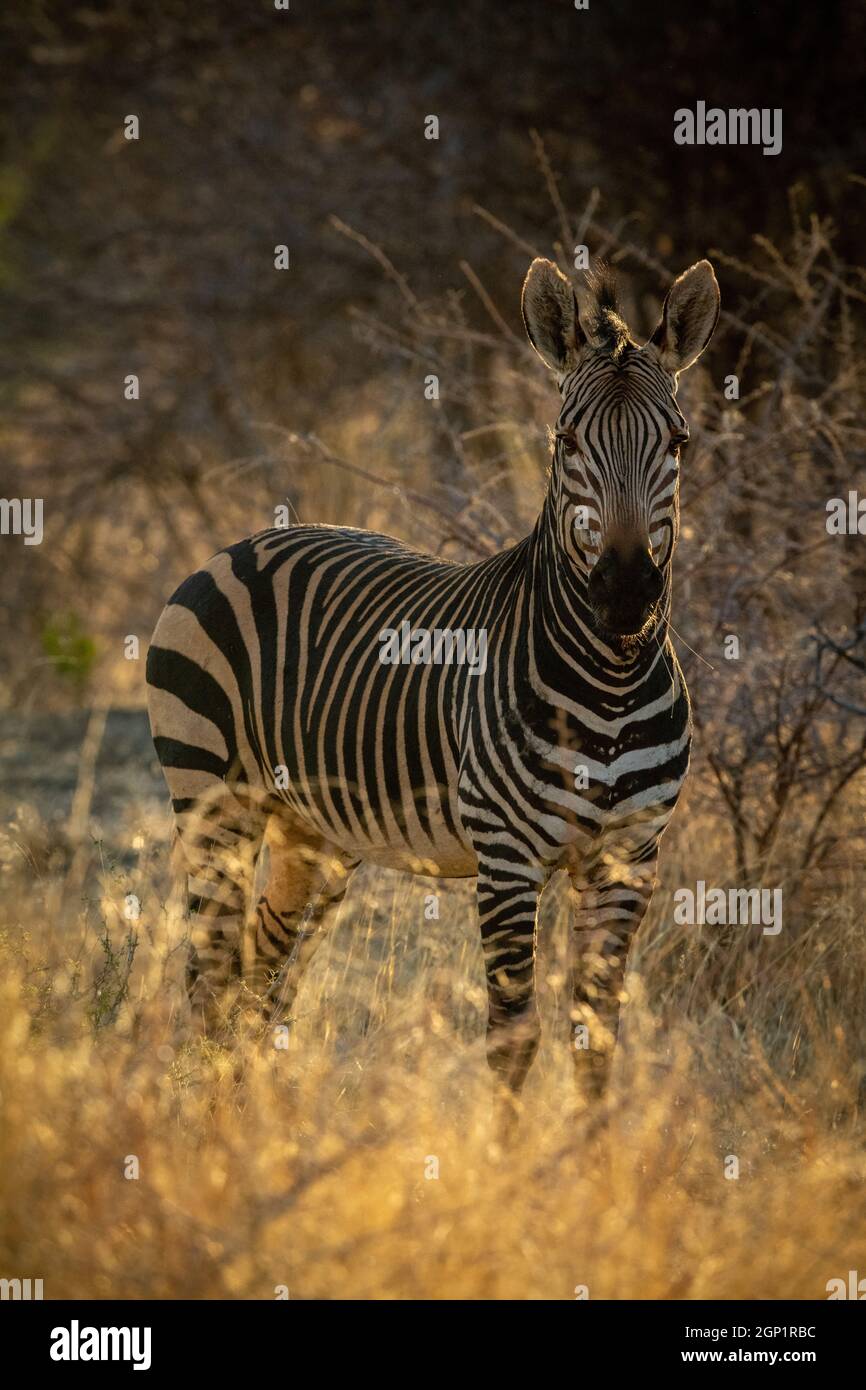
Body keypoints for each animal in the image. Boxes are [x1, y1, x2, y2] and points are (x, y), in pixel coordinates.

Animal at [146, 254, 719, 1119]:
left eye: (679, 443)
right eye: (565, 440)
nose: (625, 597)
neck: (610, 678)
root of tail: (242, 544)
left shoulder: (630, 858)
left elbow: (597, 1041)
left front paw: (590, 1157)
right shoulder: (507, 858)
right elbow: (514, 1039)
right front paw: (508, 1157)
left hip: (312, 835)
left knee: (263, 979)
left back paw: (255, 1124)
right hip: (213, 800)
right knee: (210, 980)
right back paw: (217, 1132)